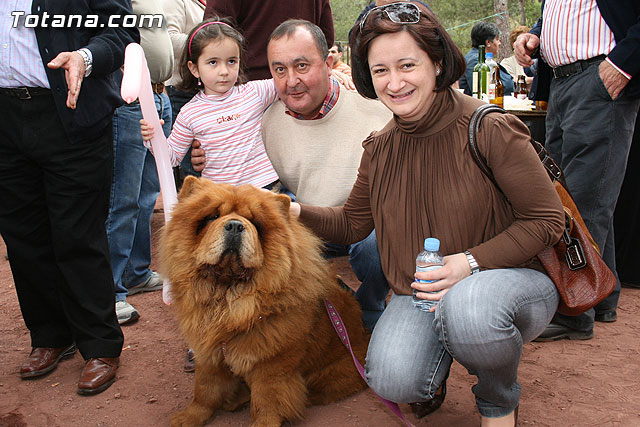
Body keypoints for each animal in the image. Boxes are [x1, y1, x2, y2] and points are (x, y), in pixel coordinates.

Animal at [161, 177, 370, 427]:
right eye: (212, 216)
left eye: (254, 222)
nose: (234, 225)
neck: (228, 301)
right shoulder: (208, 353)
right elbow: (204, 390)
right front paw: (189, 417)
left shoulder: (271, 363)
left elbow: (266, 401)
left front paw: (262, 422)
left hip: (335, 371)